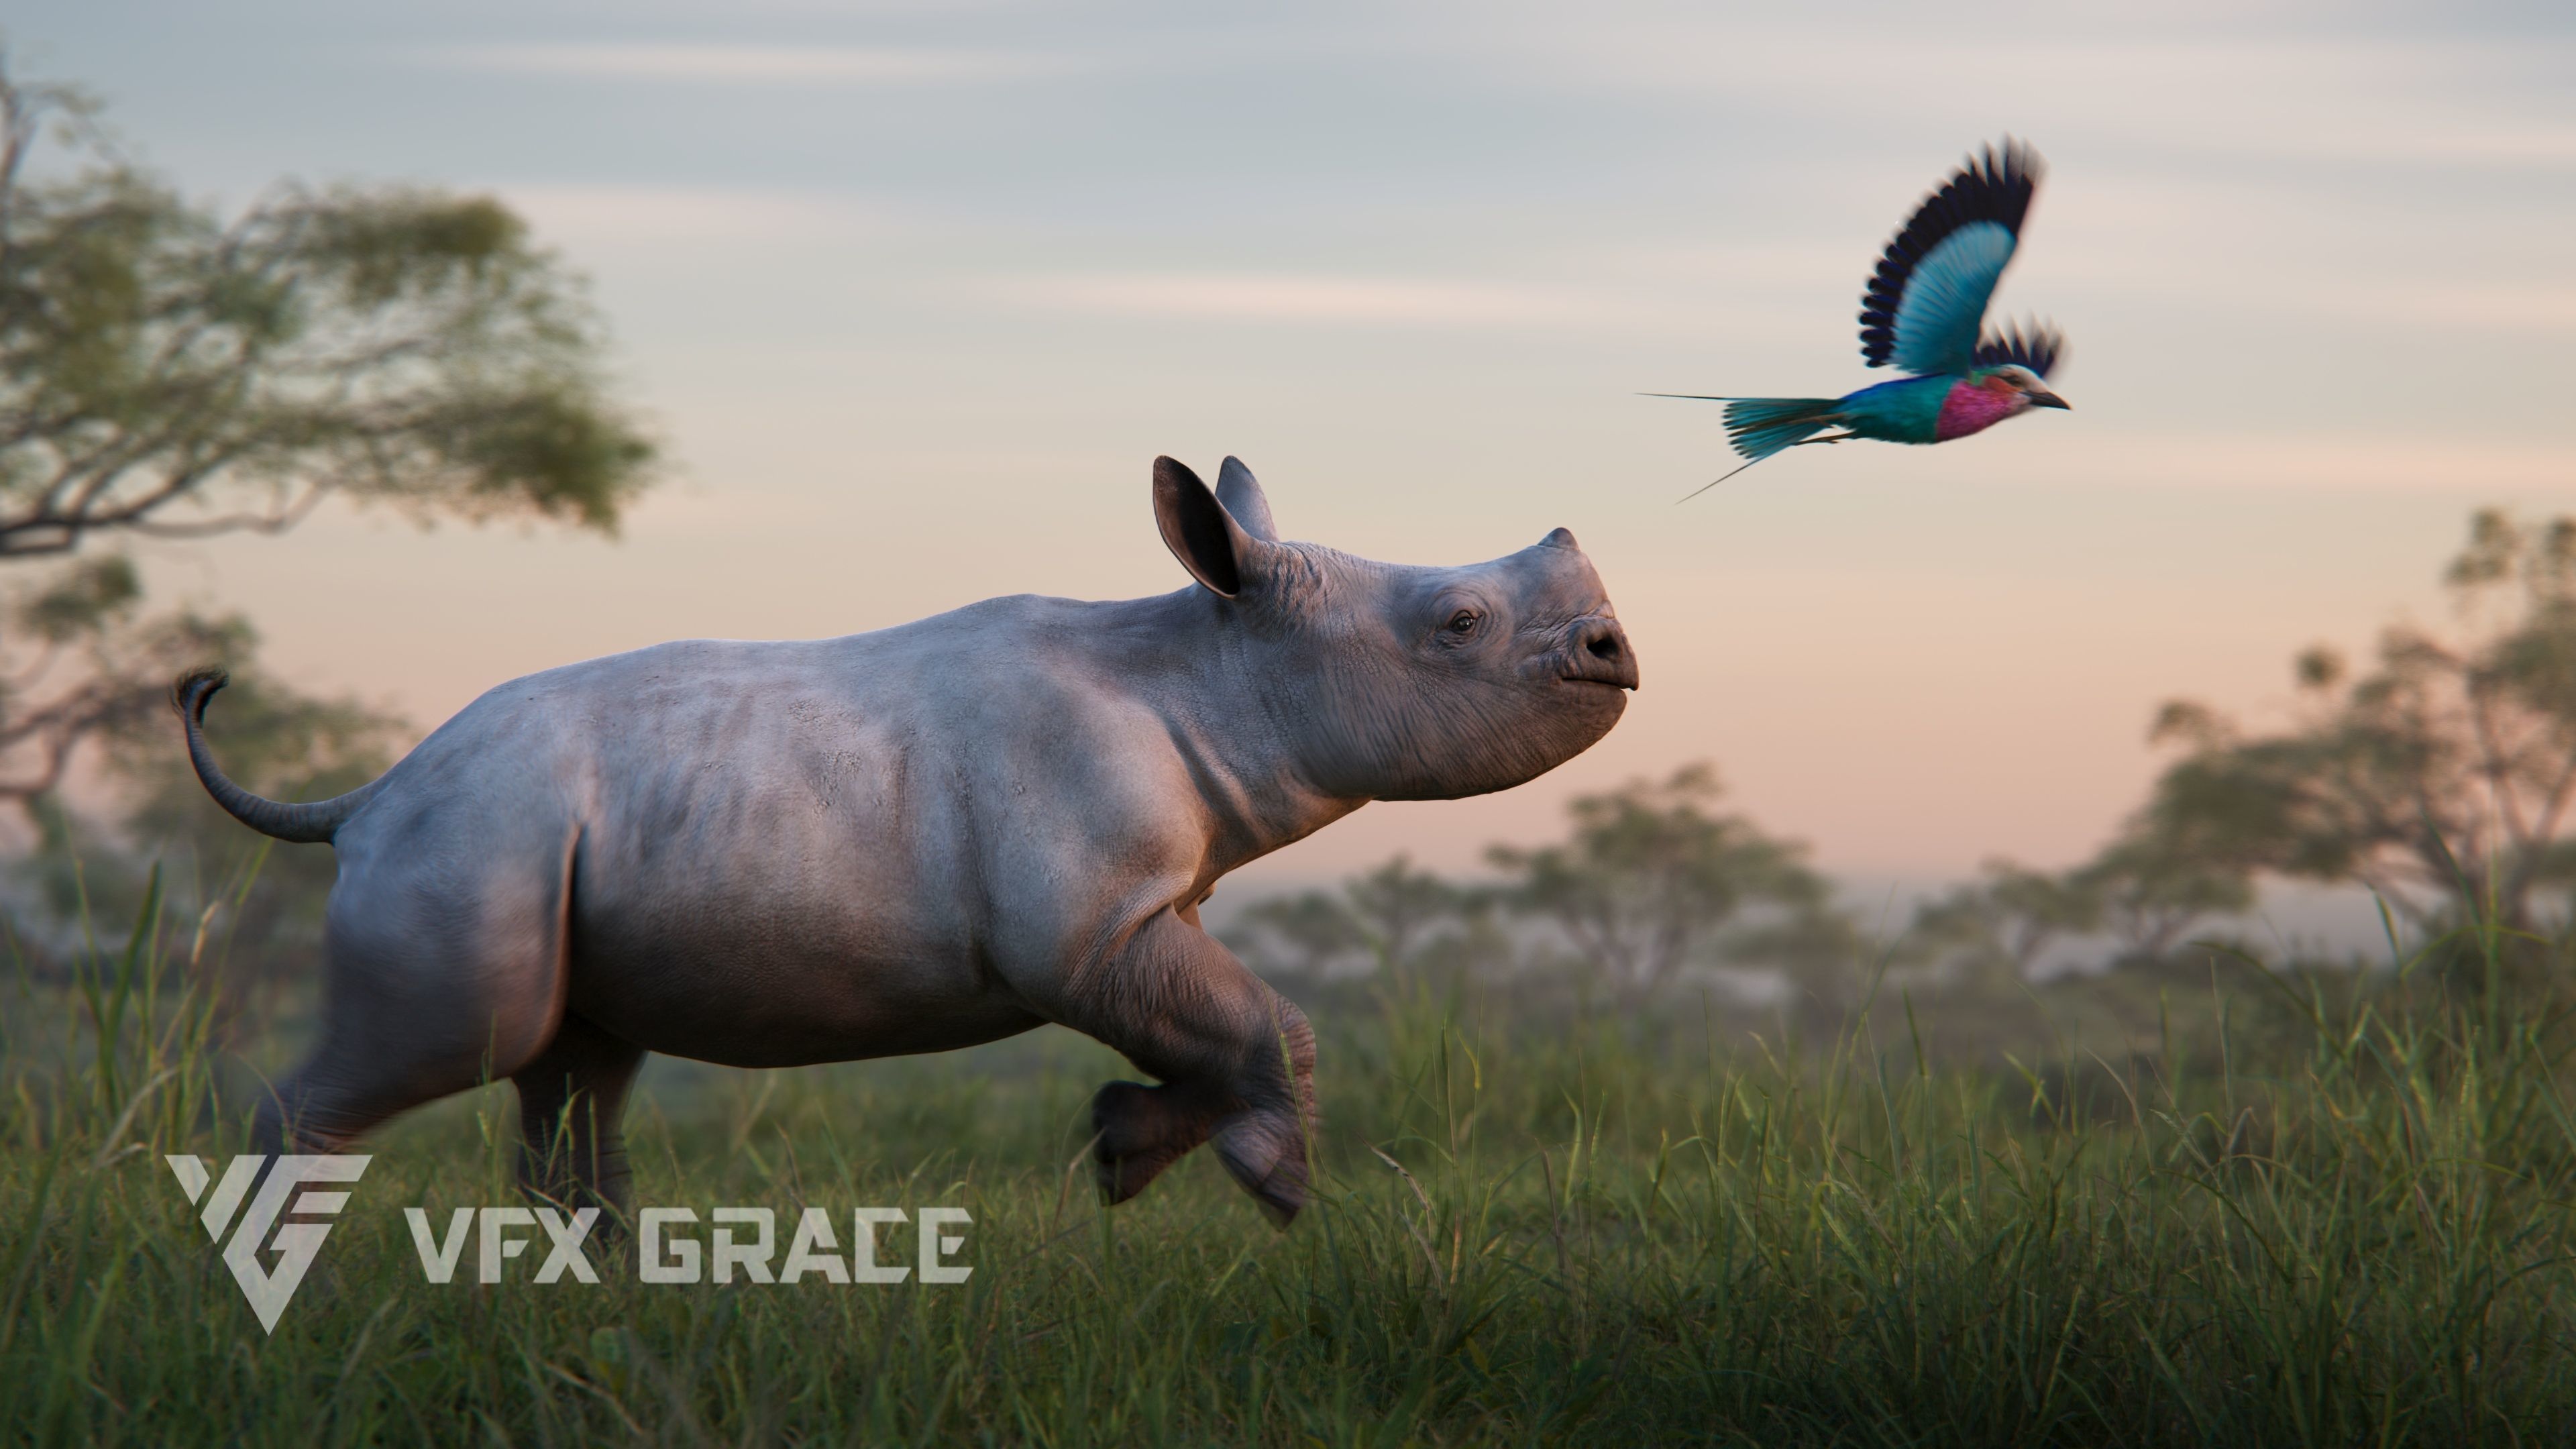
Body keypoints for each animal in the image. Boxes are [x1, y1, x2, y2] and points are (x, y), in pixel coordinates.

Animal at [175, 457, 1636, 1223]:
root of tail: (365, 797)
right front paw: (1268, 1187)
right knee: (439, 1049)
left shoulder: (1149, 905)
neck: (1210, 663)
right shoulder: (1081, 927)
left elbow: (1225, 1025)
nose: (1617, 656)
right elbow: (1260, 1022)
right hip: (466, 839)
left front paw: (1124, 1150)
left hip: (522, 843)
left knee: (574, 1067)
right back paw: (278, 1289)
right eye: (1460, 625)